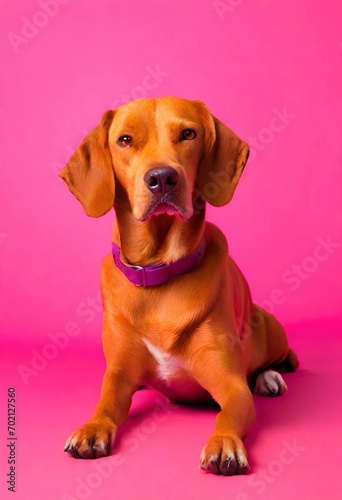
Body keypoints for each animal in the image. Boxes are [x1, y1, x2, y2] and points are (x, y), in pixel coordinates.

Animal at [60, 95, 298, 474]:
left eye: (188, 134)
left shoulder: (232, 386)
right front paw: (92, 427)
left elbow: (229, 412)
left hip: (271, 331)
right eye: (125, 140)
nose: (162, 178)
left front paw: (224, 442)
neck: (161, 272)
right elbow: (106, 402)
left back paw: (269, 377)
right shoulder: (118, 374)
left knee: (273, 361)